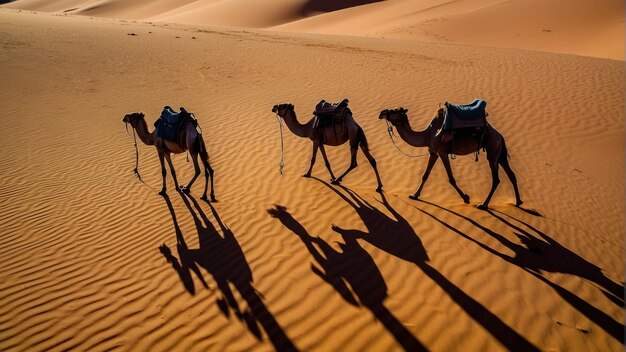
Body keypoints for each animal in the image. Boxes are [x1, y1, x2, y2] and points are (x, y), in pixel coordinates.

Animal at [378, 107, 520, 209]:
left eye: (394, 110)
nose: (381, 112)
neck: (427, 135)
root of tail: (499, 135)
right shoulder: (433, 153)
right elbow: (425, 175)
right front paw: (414, 195)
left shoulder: (442, 153)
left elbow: (451, 178)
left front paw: (466, 198)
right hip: (499, 153)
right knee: (511, 174)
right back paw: (518, 202)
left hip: (492, 149)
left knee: (496, 179)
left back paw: (483, 205)